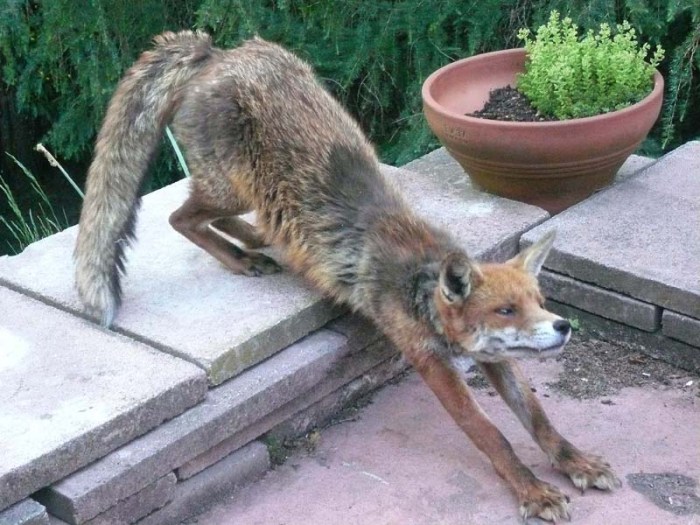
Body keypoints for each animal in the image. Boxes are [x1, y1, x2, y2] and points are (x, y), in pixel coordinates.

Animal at [75, 31, 620, 521]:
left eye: (538, 301)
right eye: (505, 310)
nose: (562, 328)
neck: (419, 286)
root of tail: (219, 52)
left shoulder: (492, 357)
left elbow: (538, 418)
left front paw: (574, 462)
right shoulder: (430, 361)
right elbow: (494, 436)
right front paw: (533, 492)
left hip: (244, 192)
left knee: (223, 219)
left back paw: (254, 241)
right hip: (228, 187)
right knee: (179, 217)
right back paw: (241, 257)